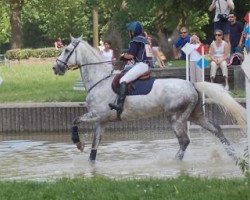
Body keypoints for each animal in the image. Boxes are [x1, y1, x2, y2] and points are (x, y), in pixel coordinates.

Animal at [52, 36, 246, 162]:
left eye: (67, 50)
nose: (55, 68)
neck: (99, 80)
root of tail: (192, 85)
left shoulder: (96, 114)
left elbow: (75, 120)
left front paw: (78, 143)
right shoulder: (101, 121)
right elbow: (94, 148)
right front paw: (91, 164)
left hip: (176, 117)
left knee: (184, 140)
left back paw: (174, 161)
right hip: (195, 115)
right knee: (216, 129)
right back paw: (233, 154)